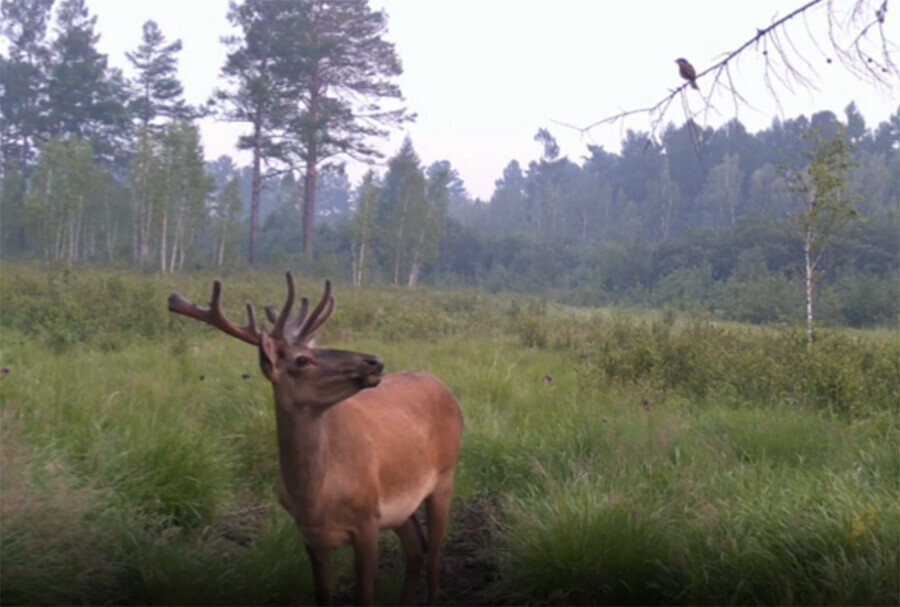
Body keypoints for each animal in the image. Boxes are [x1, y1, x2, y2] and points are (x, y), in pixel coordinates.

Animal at [167, 274, 464, 604]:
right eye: (303, 359)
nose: (375, 361)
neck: (316, 496)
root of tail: (446, 390)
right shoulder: (310, 534)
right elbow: (322, 593)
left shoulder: (367, 519)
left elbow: (364, 595)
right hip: (403, 506)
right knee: (417, 550)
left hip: (445, 476)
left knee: (434, 556)